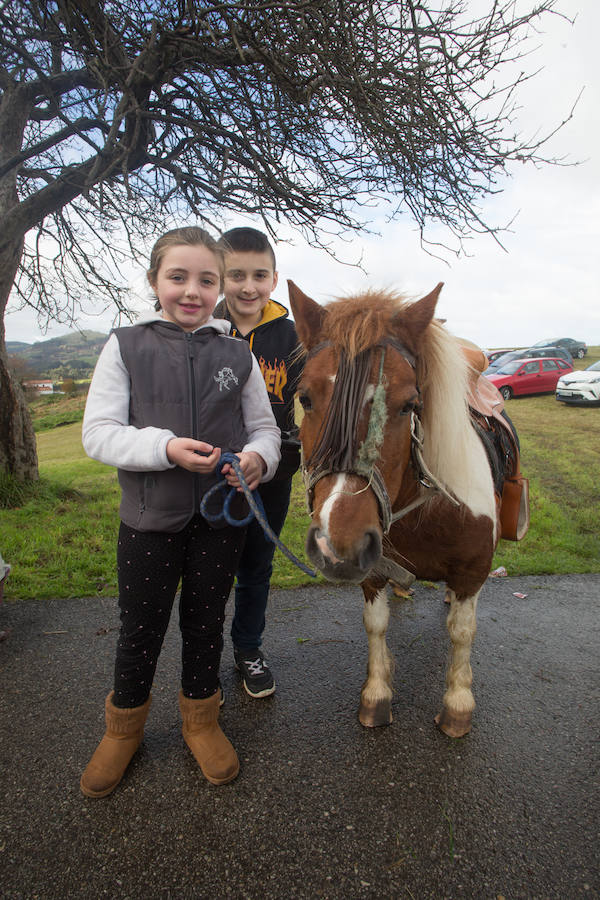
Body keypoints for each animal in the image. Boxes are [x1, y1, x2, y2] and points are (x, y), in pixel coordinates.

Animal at [288, 282, 504, 740]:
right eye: (305, 398)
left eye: (409, 404)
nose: (339, 546)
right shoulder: (372, 570)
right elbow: (376, 624)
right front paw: (377, 694)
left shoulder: (474, 571)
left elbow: (462, 631)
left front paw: (458, 704)